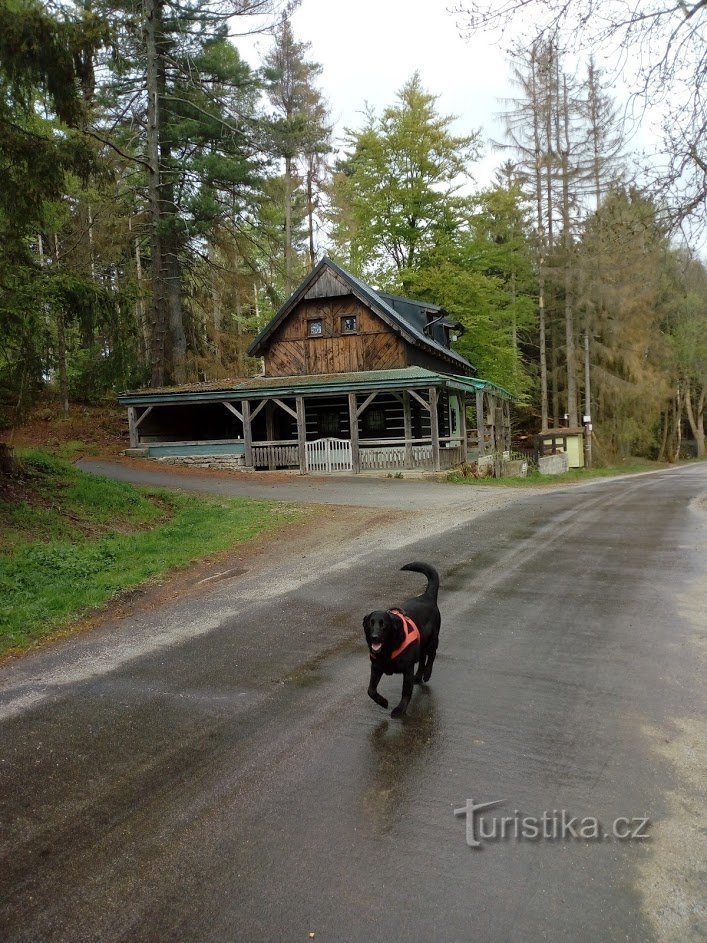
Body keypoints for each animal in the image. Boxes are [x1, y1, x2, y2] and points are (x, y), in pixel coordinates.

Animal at [362, 560, 440, 724]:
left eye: (383, 625)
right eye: (370, 624)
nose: (375, 637)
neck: (388, 649)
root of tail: (427, 596)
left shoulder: (407, 668)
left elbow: (406, 692)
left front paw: (400, 709)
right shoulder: (376, 667)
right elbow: (371, 690)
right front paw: (383, 702)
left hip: (432, 640)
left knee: (431, 656)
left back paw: (427, 673)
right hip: (421, 644)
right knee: (422, 658)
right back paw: (419, 676)